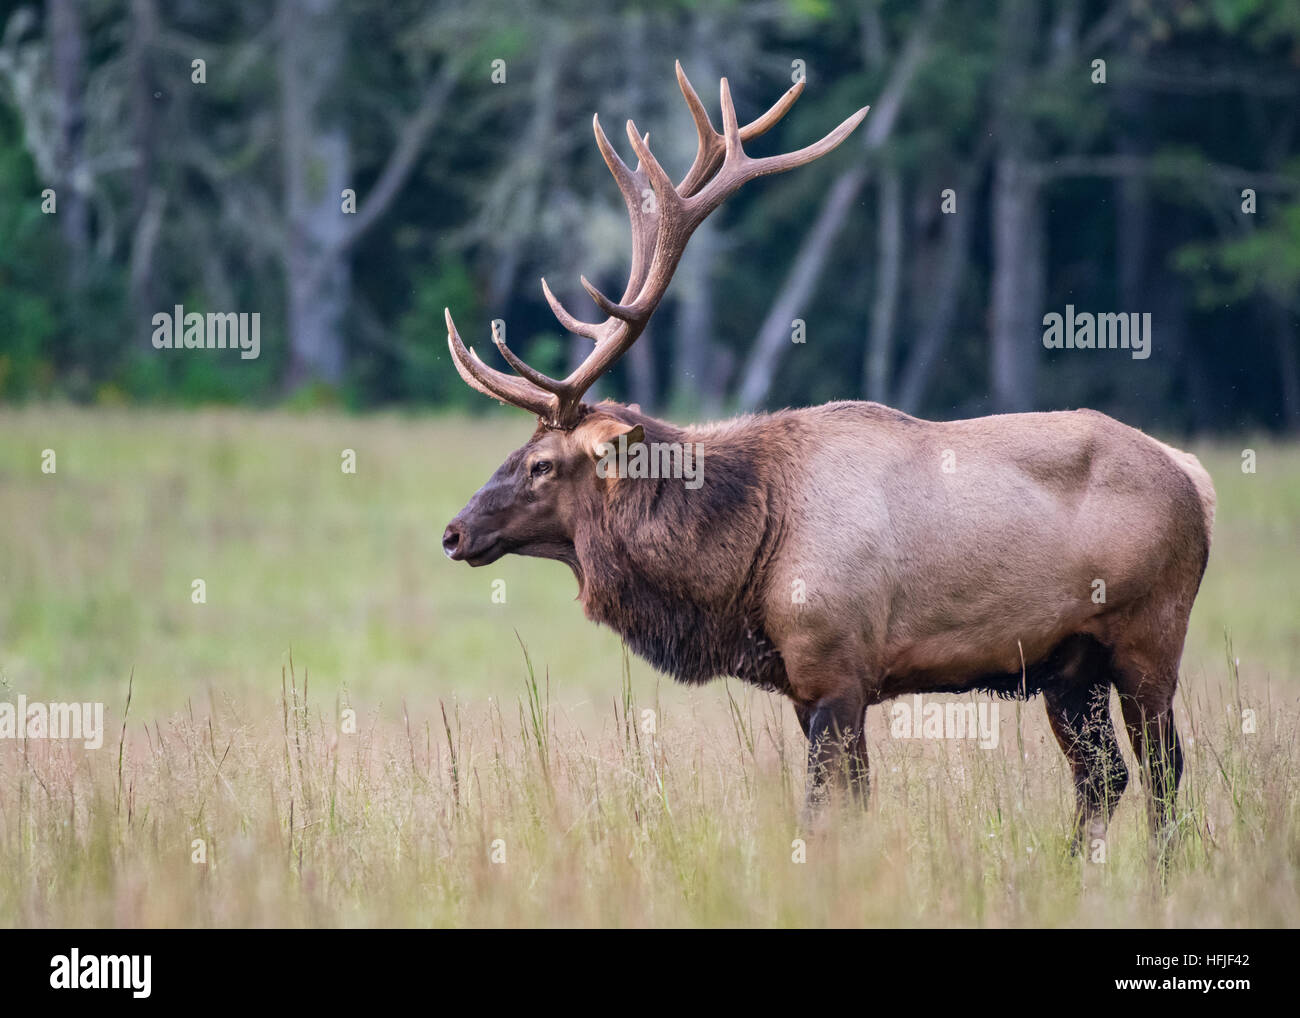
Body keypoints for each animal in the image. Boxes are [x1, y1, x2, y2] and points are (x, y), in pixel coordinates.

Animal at [441, 63, 1211, 852]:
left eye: (542, 464)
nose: (455, 532)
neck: (744, 559)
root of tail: (1193, 476)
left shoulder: (840, 668)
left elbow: (822, 809)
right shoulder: (810, 683)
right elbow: (854, 803)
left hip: (1151, 633)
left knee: (1164, 772)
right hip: (1069, 665)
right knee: (1102, 777)